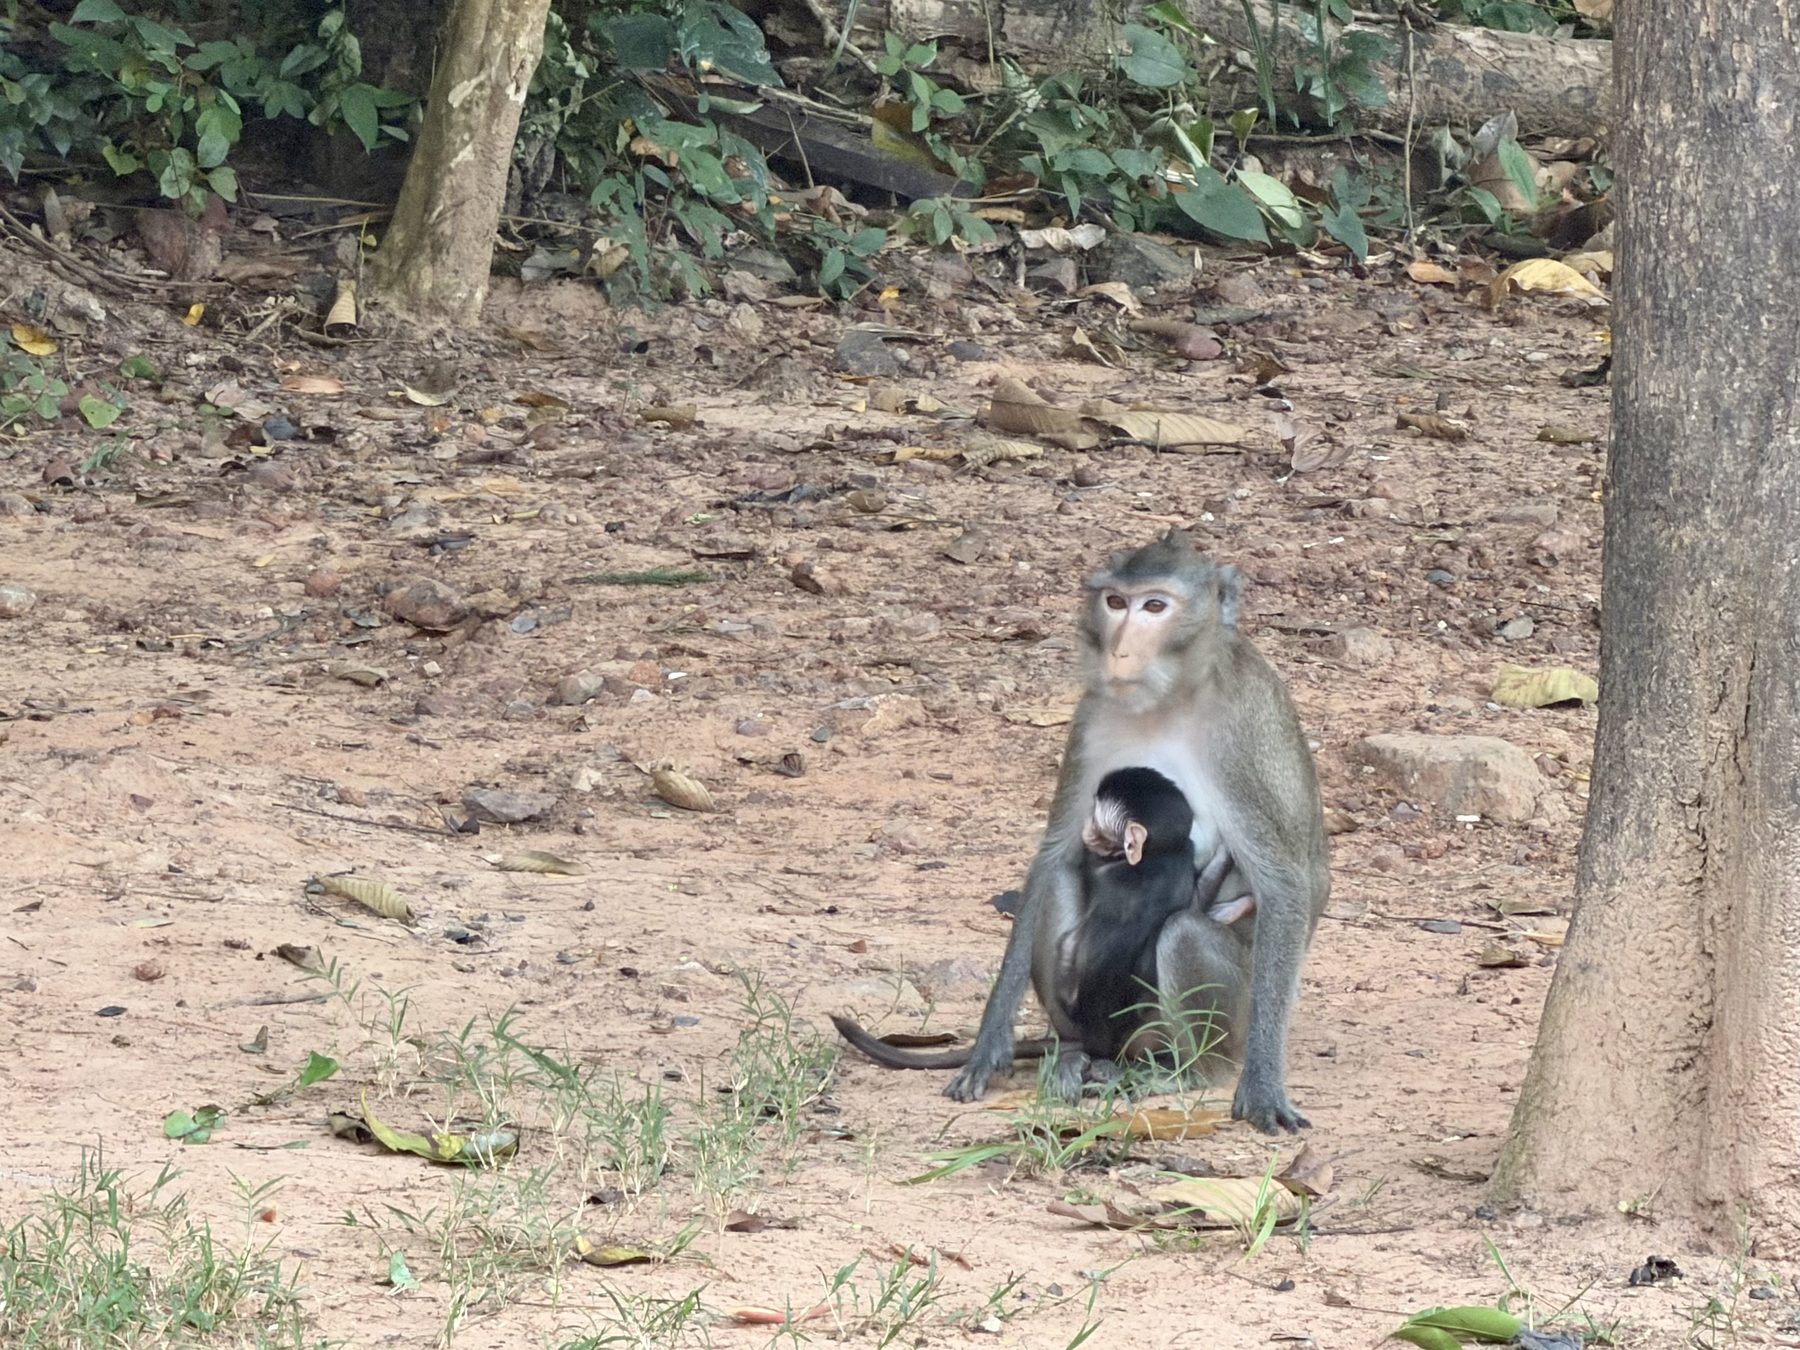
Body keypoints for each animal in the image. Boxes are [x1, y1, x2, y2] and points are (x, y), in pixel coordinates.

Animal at [829, 530, 1329, 1134]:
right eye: (1115, 602)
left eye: (1155, 606)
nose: (1119, 650)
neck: (1169, 699)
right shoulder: (1093, 717)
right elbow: (1052, 854)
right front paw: (989, 1044)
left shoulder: (1244, 732)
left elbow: (1285, 883)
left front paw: (1262, 1086)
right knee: (1061, 882)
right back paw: (1074, 1055)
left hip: (1223, 1018)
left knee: (1185, 934)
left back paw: (1190, 1072)